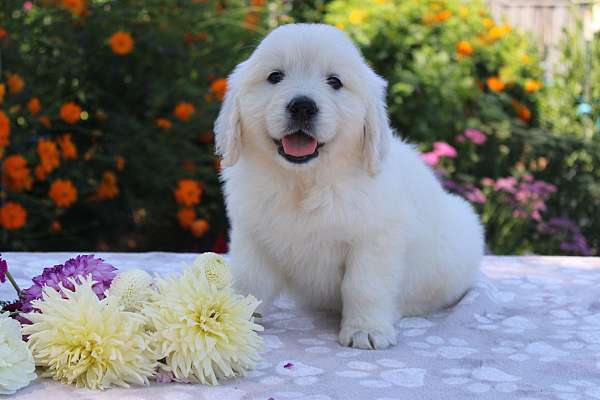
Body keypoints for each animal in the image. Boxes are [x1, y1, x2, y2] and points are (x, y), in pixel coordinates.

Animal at [213, 24, 486, 350]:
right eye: (275, 76)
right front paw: (232, 321)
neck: (304, 183)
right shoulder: (253, 237)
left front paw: (365, 330)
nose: (302, 106)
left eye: (335, 82)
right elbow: (248, 282)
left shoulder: (375, 239)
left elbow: (363, 285)